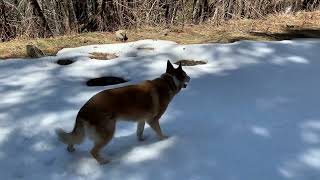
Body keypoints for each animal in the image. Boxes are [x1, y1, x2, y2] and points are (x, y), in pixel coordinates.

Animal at [55, 60, 190, 165]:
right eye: (185, 74)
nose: (190, 78)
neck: (169, 82)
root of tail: (84, 109)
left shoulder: (142, 119)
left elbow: (139, 131)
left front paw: (141, 140)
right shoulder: (153, 120)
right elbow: (160, 133)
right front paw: (165, 140)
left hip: (86, 133)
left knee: (72, 140)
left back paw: (71, 150)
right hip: (108, 132)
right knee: (93, 151)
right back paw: (103, 162)